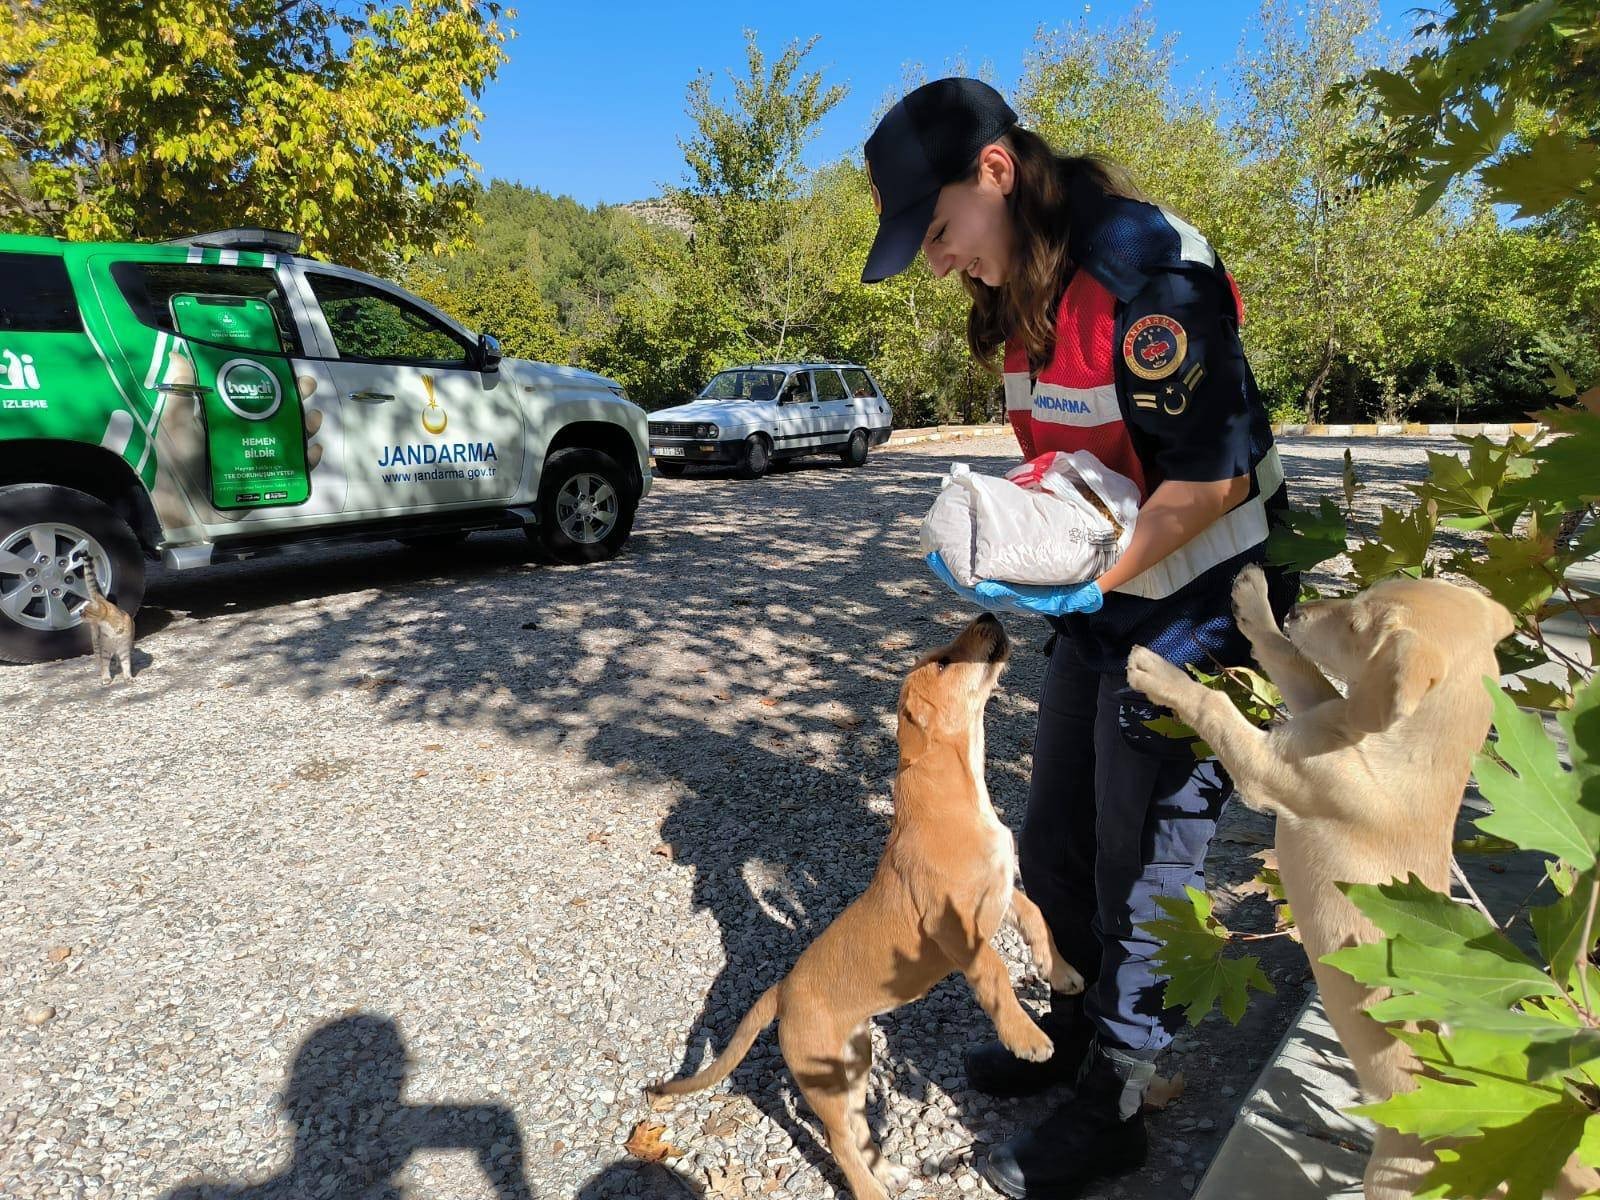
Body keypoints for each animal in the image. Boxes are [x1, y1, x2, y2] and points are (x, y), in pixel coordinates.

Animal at [649, 620, 1088, 1200]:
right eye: (944, 662)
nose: (989, 617)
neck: (957, 794)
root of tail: (782, 990)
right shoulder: (954, 926)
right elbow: (993, 970)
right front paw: (1027, 1037)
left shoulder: (1002, 892)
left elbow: (1039, 918)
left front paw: (1061, 973)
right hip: (827, 1080)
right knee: (839, 1141)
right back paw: (872, 1188)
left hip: (854, 1065)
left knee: (858, 1130)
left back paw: (889, 1172)